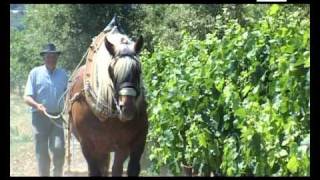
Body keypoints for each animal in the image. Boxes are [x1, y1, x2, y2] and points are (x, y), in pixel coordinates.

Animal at [67, 17, 149, 176]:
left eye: (139, 70)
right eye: (111, 70)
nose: (127, 108)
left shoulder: (128, 142)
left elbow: (121, 169)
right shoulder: (88, 144)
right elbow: (95, 170)